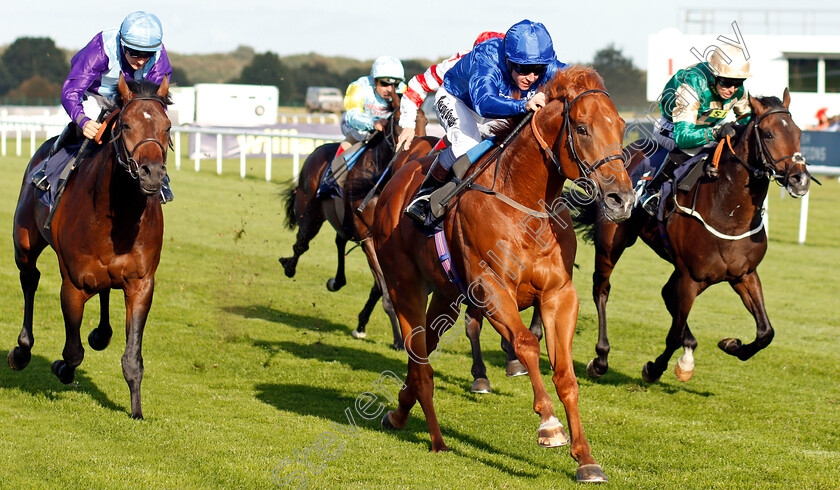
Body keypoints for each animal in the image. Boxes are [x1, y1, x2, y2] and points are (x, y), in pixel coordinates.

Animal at [9, 74, 171, 420]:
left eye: (167, 127)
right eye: (126, 125)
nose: (152, 173)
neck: (120, 215)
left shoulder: (141, 283)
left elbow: (132, 359)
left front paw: (136, 411)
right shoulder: (73, 283)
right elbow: (72, 352)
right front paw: (60, 368)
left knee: (105, 290)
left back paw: (101, 333)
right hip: (24, 241)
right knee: (30, 279)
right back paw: (22, 351)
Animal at [370, 66, 632, 482]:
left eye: (621, 126)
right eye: (582, 128)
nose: (622, 199)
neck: (525, 203)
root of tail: (399, 175)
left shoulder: (559, 294)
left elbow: (565, 372)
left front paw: (586, 459)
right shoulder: (489, 287)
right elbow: (525, 343)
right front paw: (549, 424)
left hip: (446, 294)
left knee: (424, 349)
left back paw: (400, 409)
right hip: (404, 285)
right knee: (419, 356)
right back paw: (436, 439)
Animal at [576, 90, 812, 384]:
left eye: (799, 132)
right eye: (768, 134)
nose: (800, 179)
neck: (728, 212)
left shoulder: (744, 274)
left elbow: (766, 332)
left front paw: (732, 345)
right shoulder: (691, 278)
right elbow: (673, 334)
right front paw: (654, 368)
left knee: (666, 293)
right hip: (613, 241)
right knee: (602, 289)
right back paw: (600, 358)